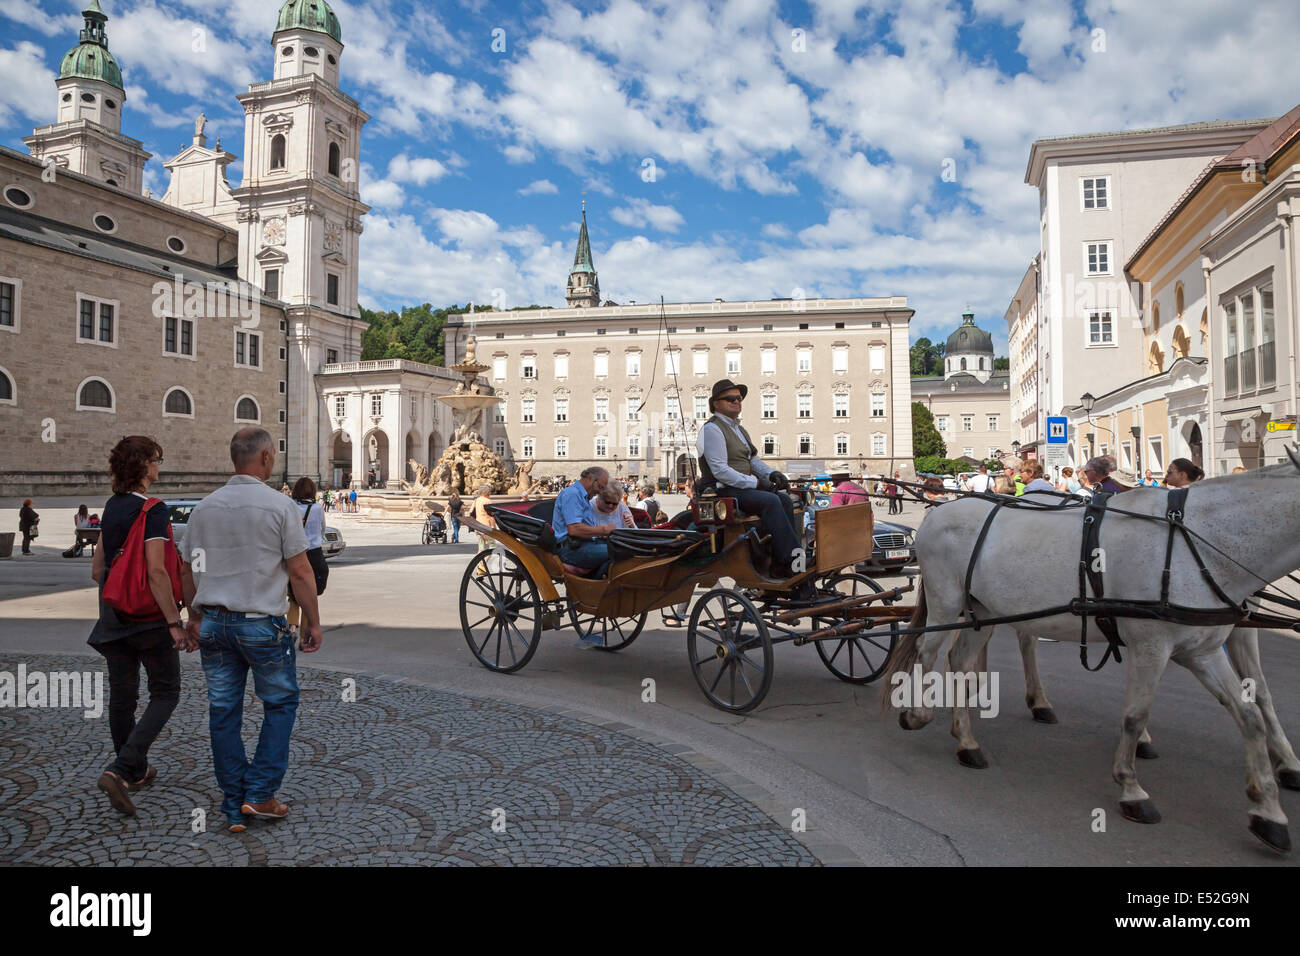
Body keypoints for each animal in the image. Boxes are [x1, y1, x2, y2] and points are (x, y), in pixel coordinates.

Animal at [883, 455, 1300, 853]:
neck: (1195, 543)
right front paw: (1132, 789)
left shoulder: (1204, 650)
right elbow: (1135, 715)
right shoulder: (1151, 647)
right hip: (945, 603)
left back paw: (967, 740)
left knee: (962, 661)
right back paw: (918, 714)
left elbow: (1252, 713)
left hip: (983, 611)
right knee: (926, 650)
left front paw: (1269, 809)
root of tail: (939, 511)